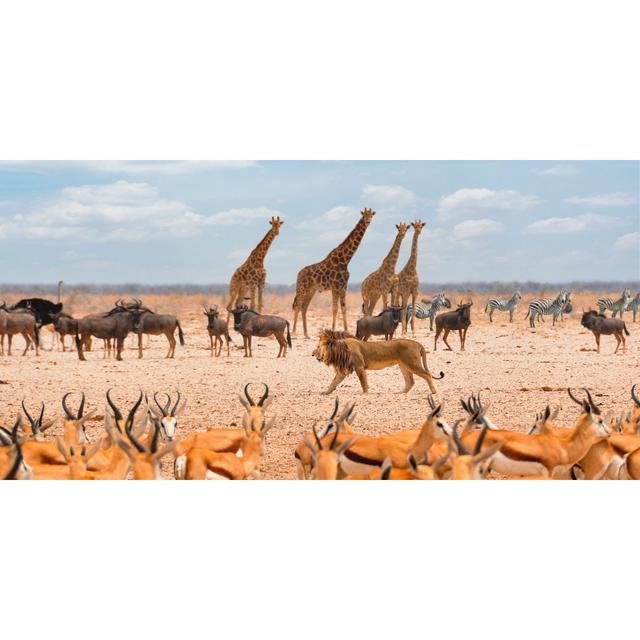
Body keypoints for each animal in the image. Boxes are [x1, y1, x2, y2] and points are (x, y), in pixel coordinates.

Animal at [294, 210, 378, 340]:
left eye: (371, 215)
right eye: (364, 216)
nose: (368, 222)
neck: (345, 259)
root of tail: (298, 274)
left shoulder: (343, 286)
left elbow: (344, 308)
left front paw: (346, 331)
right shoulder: (335, 286)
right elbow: (334, 309)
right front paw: (333, 330)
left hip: (311, 290)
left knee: (304, 307)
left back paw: (306, 334)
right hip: (302, 288)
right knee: (297, 306)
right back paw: (293, 333)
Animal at [312, 330, 444, 396]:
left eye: (318, 347)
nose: (312, 354)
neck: (340, 349)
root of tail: (417, 343)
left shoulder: (359, 366)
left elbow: (363, 382)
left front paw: (365, 393)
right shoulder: (343, 371)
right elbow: (334, 382)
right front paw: (326, 392)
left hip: (412, 363)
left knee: (427, 375)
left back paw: (434, 391)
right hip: (403, 365)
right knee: (410, 381)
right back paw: (401, 393)